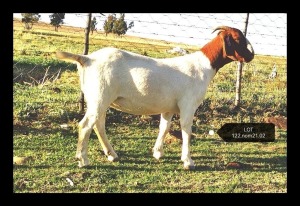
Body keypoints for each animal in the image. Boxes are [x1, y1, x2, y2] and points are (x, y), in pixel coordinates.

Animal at [55, 25, 253, 170]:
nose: (251, 55)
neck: (202, 66)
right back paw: (83, 160)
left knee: (98, 125)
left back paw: (112, 154)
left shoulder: (169, 107)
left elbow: (164, 127)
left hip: (98, 99)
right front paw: (188, 161)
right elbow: (186, 129)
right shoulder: (188, 104)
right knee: (85, 125)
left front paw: (158, 152)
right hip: (100, 97)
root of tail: (87, 59)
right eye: (238, 39)